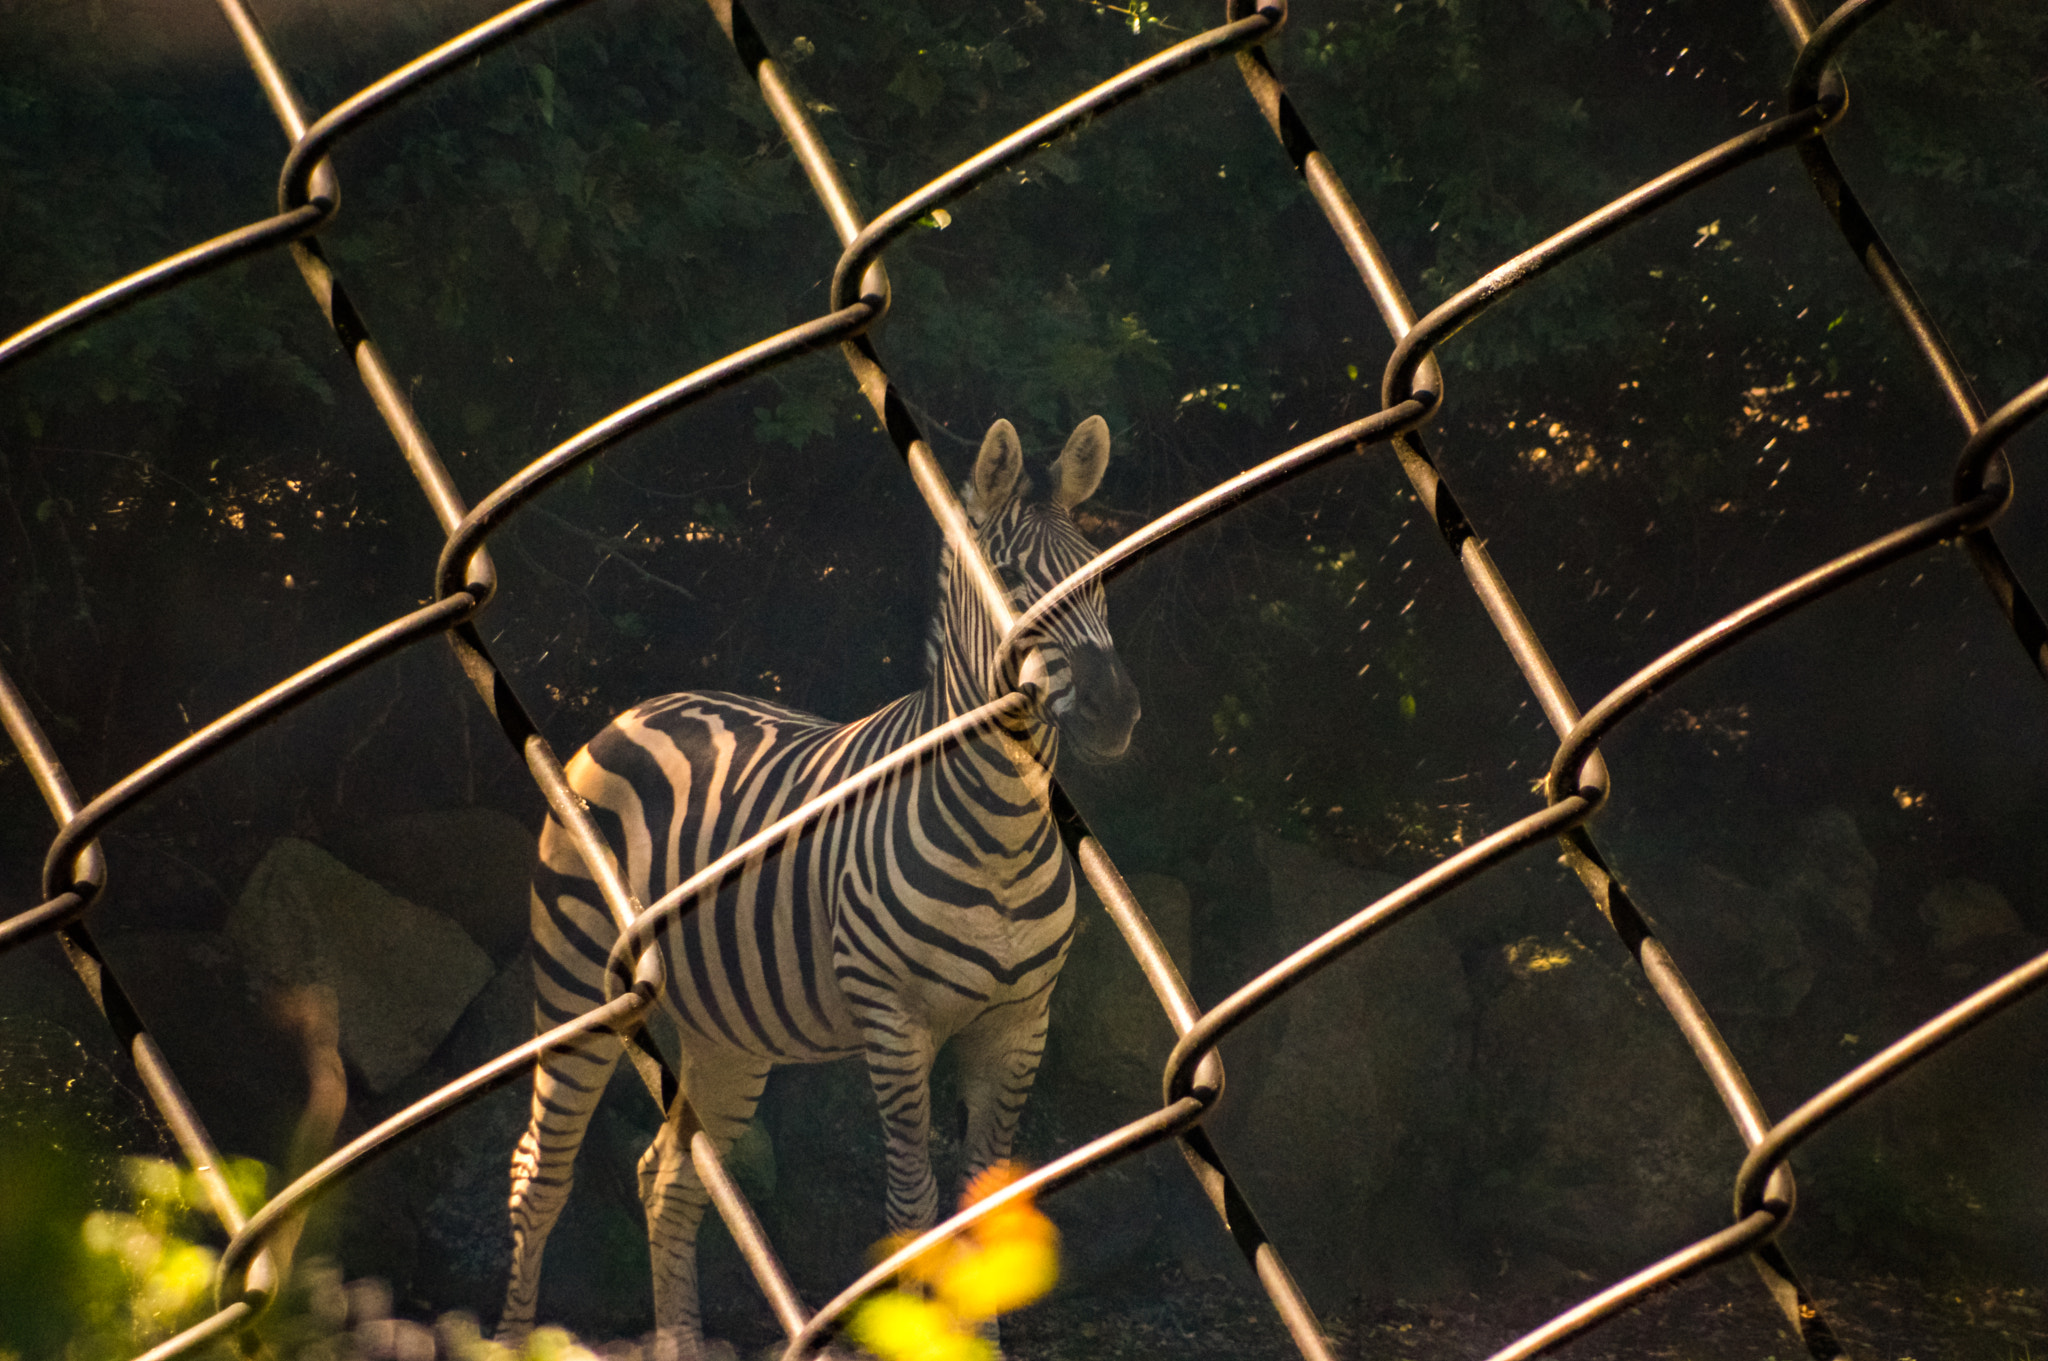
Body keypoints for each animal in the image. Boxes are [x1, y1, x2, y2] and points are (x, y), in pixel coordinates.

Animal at [495, 417, 1138, 1358]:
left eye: (1096, 575)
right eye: (1013, 581)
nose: (1115, 711)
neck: (1003, 832)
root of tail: (646, 707)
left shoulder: (1020, 1022)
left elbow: (987, 1208)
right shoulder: (895, 1022)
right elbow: (913, 1208)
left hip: (727, 1032)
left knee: (667, 1176)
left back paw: (680, 1339)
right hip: (578, 982)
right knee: (541, 1167)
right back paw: (509, 1332)